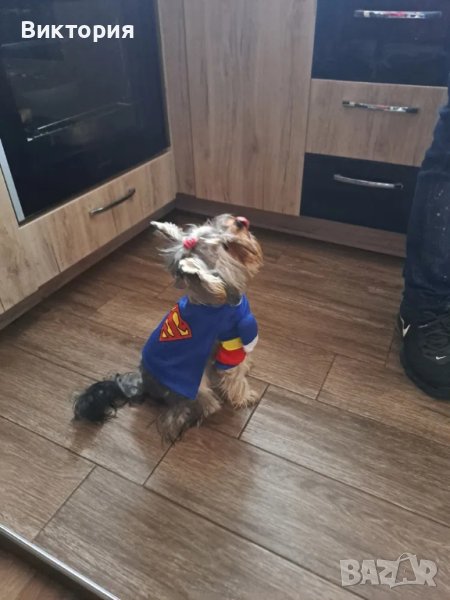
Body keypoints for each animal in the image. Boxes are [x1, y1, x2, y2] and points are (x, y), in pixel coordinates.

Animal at [73, 214, 263, 442]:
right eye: (226, 246)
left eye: (213, 225)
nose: (240, 221)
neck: (218, 298)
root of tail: (144, 384)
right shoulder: (230, 338)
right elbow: (233, 373)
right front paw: (244, 397)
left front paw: (248, 366)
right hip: (193, 385)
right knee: (188, 407)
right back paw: (204, 410)